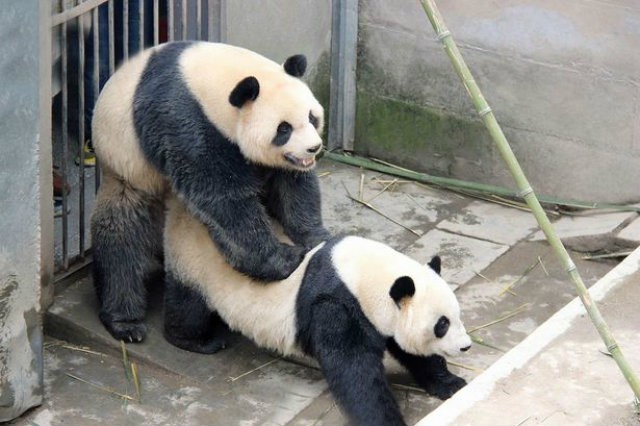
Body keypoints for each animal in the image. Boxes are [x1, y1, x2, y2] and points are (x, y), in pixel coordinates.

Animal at [90, 41, 328, 343]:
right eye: (283, 128)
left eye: (311, 117)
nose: (313, 148)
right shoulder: (184, 121)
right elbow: (222, 198)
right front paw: (284, 259)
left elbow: (291, 185)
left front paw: (314, 236)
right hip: (125, 162)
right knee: (121, 232)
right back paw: (125, 322)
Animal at [163, 194, 472, 426]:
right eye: (441, 325)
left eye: (457, 316)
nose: (466, 346)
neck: (363, 274)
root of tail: (180, 212)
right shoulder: (336, 305)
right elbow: (354, 372)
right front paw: (385, 420)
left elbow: (413, 353)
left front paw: (452, 384)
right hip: (194, 265)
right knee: (189, 307)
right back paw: (197, 341)